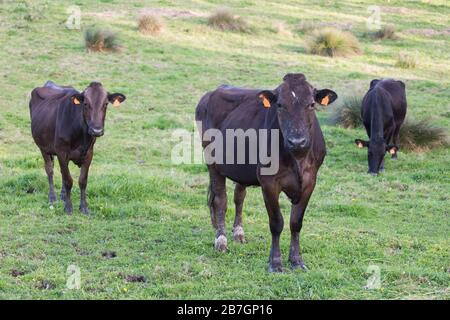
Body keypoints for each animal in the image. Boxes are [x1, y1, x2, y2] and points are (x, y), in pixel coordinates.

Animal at [29, 81, 125, 214]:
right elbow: (68, 180)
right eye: (85, 104)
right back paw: (52, 197)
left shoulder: (89, 153)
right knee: (50, 169)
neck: (82, 137)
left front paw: (84, 207)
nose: (96, 130)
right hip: (43, 147)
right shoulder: (61, 152)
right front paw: (68, 208)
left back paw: (63, 195)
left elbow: (82, 181)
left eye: (105, 104)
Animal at [197, 74, 338, 272]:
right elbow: (277, 223)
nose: (297, 141)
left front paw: (296, 261)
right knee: (220, 201)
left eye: (311, 104)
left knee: (239, 197)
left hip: (241, 169)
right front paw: (276, 263)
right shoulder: (269, 183)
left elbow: (296, 223)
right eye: (279, 105)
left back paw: (238, 233)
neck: (297, 158)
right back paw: (221, 241)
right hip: (213, 164)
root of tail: (214, 91)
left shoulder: (310, 181)